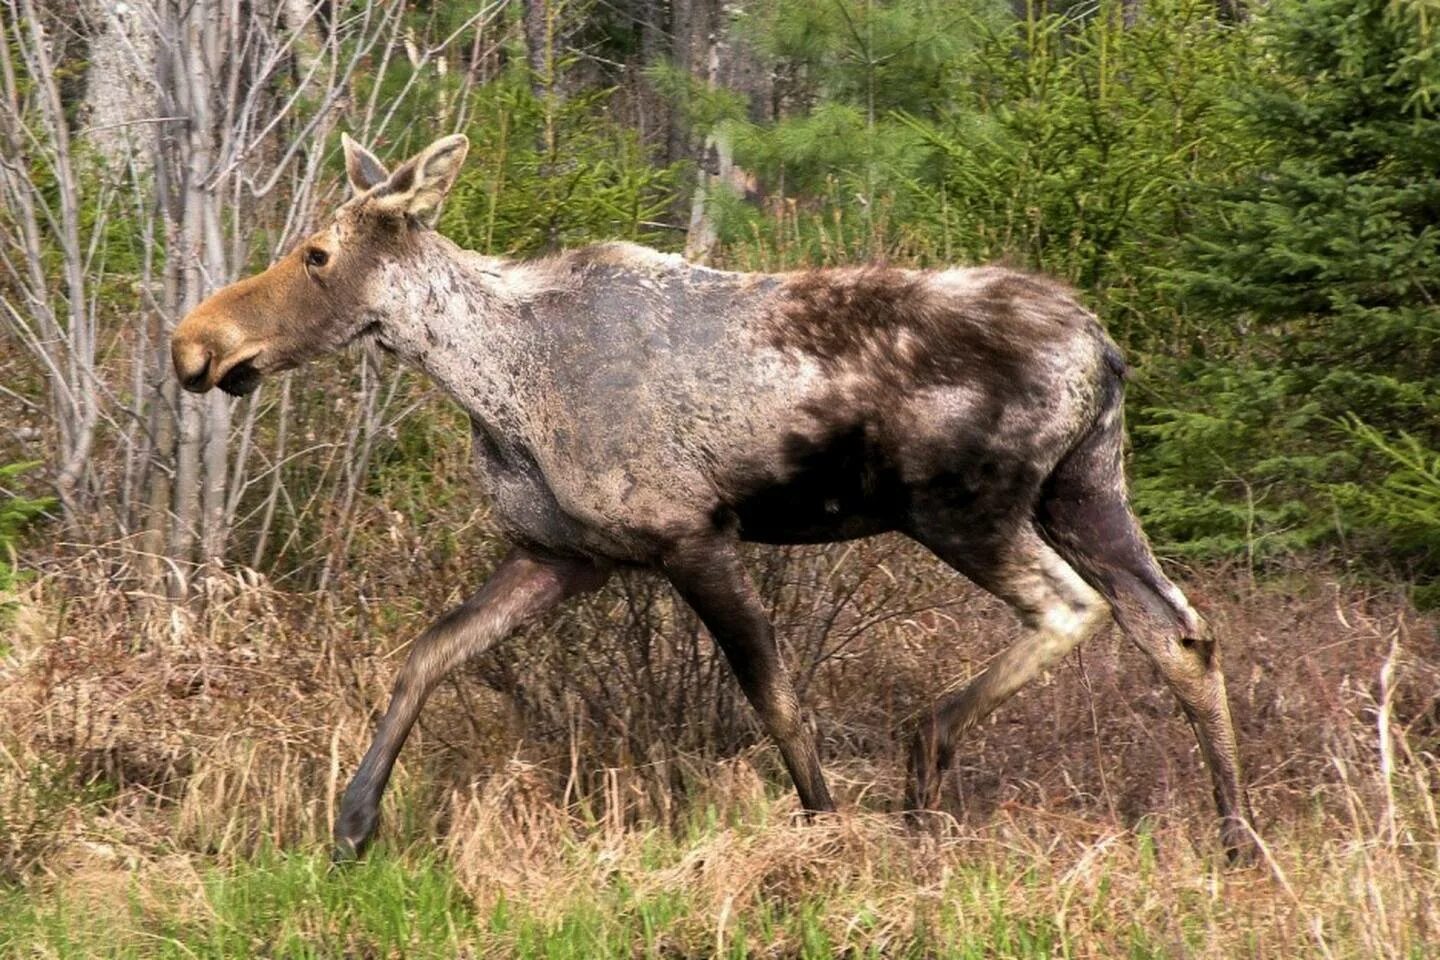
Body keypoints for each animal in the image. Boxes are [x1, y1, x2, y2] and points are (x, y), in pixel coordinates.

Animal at [168, 133, 1255, 863]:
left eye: (315, 254)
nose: (195, 344)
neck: (495, 380)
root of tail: (1106, 350)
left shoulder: (688, 535)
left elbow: (775, 697)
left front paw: (825, 830)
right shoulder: (568, 554)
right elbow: (428, 652)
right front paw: (352, 825)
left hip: (965, 507)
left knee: (1072, 611)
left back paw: (923, 764)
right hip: (1086, 488)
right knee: (1181, 632)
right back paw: (1237, 835)